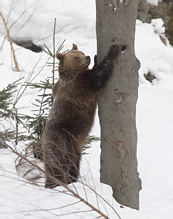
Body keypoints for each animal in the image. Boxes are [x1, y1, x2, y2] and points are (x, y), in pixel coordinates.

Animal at [42, 42, 123, 188]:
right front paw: (114, 49)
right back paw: (55, 183)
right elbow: (99, 76)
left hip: (74, 148)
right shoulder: (81, 85)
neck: (73, 74)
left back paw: (71, 180)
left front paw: (96, 59)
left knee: (73, 165)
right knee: (58, 163)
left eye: (81, 52)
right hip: (61, 139)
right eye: (76, 57)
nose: (88, 57)